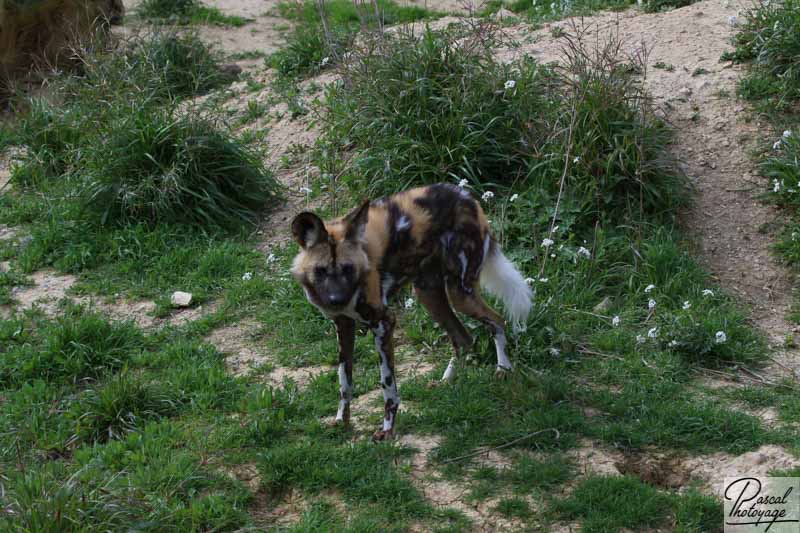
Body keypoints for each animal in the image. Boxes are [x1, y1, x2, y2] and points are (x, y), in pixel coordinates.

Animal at [292, 184, 532, 440]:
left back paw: (503, 369)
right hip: (428, 294)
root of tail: (467, 197)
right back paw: (446, 381)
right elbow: (344, 381)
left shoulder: (384, 323)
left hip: (460, 295)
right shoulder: (343, 324)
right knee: (464, 339)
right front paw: (341, 421)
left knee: (497, 321)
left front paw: (387, 430)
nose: (336, 299)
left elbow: (387, 386)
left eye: (347, 268)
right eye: (320, 270)